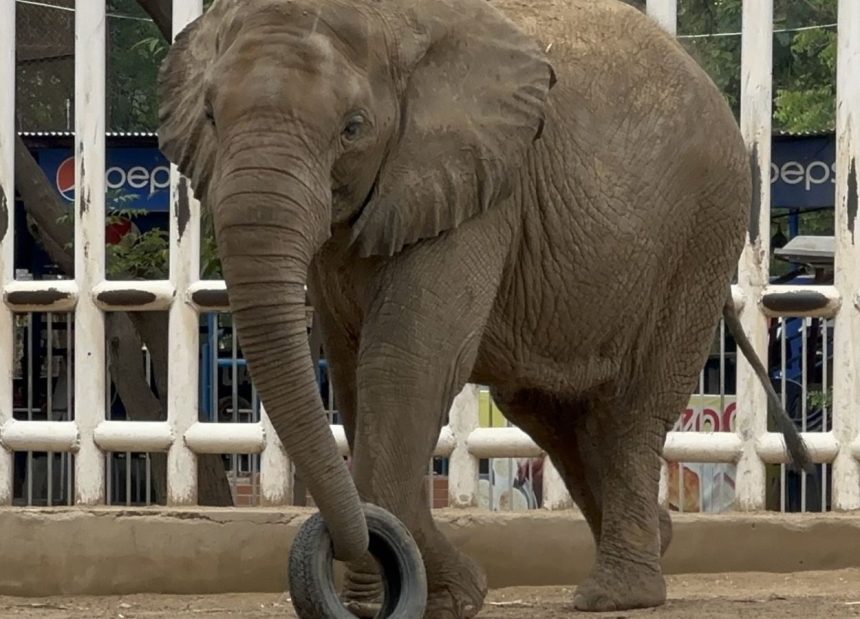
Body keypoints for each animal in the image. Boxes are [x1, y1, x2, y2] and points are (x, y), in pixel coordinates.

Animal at [158, 1, 808, 616]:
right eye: (210, 116)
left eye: (353, 128)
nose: (354, 545)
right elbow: (350, 373)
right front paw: (400, 597)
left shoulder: (477, 190)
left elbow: (405, 363)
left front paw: (426, 593)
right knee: (549, 410)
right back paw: (660, 536)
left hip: (701, 235)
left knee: (630, 410)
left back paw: (618, 594)